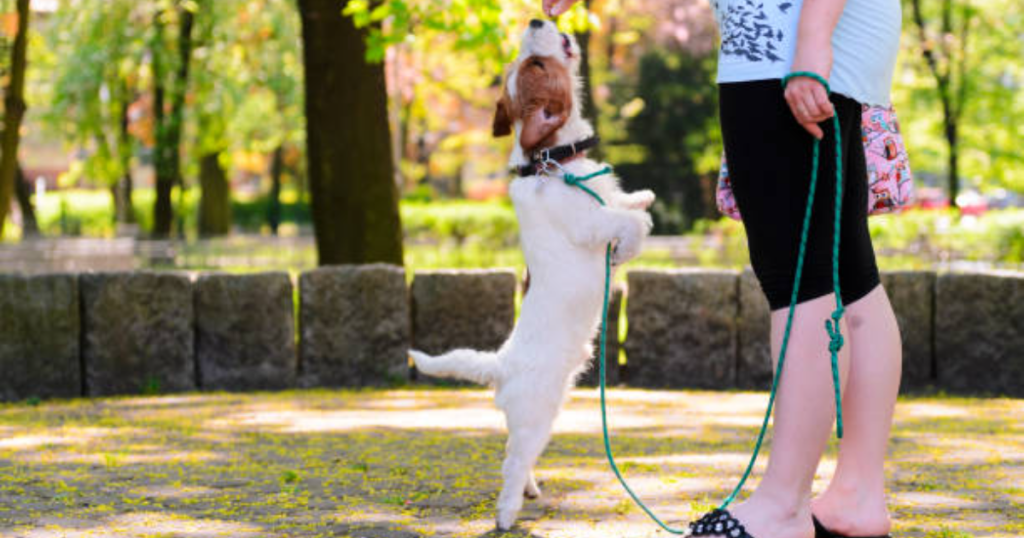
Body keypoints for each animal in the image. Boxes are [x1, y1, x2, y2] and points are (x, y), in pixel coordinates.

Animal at [409, 16, 655, 528]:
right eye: (537, 66)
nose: (537, 18)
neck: (553, 162)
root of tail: (501, 366)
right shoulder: (591, 225)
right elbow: (630, 225)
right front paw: (626, 249)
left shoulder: (604, 201)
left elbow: (629, 206)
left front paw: (642, 196)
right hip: (536, 416)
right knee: (510, 462)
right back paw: (506, 514)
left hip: (541, 416)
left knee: (518, 458)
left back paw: (530, 490)